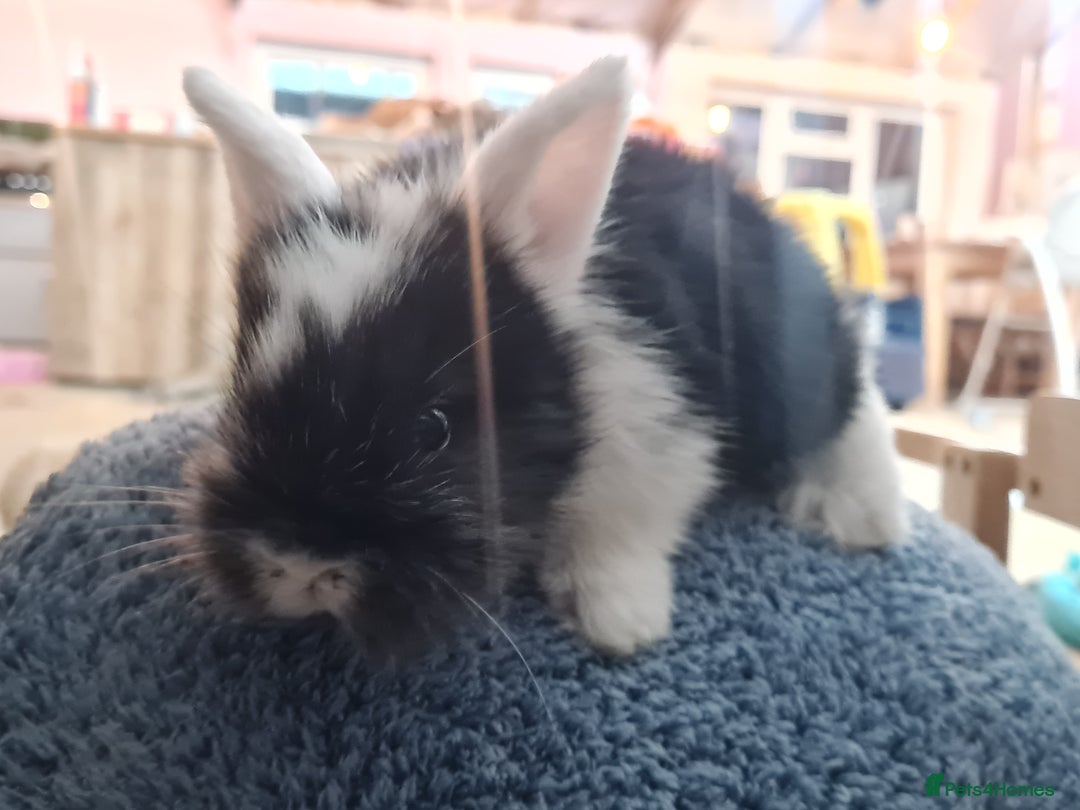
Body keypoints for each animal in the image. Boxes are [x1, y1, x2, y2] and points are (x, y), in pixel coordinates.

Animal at [175, 57, 906, 661]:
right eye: (241, 401)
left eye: (434, 429)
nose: (299, 568)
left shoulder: (662, 430)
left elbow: (627, 523)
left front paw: (616, 619)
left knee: (859, 400)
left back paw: (862, 515)